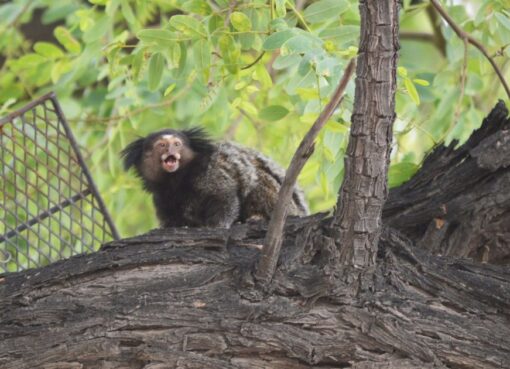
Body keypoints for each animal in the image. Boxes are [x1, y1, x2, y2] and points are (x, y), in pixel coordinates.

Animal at [121, 128, 308, 229]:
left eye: (177, 144)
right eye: (161, 145)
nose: (170, 150)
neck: (177, 180)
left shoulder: (210, 173)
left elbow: (225, 197)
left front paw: (217, 225)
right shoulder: (161, 198)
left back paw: (258, 216)